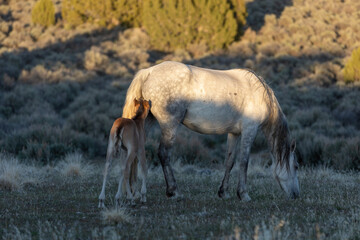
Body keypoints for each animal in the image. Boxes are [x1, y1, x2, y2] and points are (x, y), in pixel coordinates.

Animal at [122, 60, 300, 201]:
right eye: (296, 166)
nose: (296, 195)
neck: (258, 94)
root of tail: (148, 72)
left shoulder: (234, 133)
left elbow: (230, 161)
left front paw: (223, 192)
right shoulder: (249, 131)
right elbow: (244, 162)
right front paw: (243, 194)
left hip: (146, 122)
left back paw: (134, 191)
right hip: (169, 125)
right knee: (164, 153)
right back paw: (173, 191)